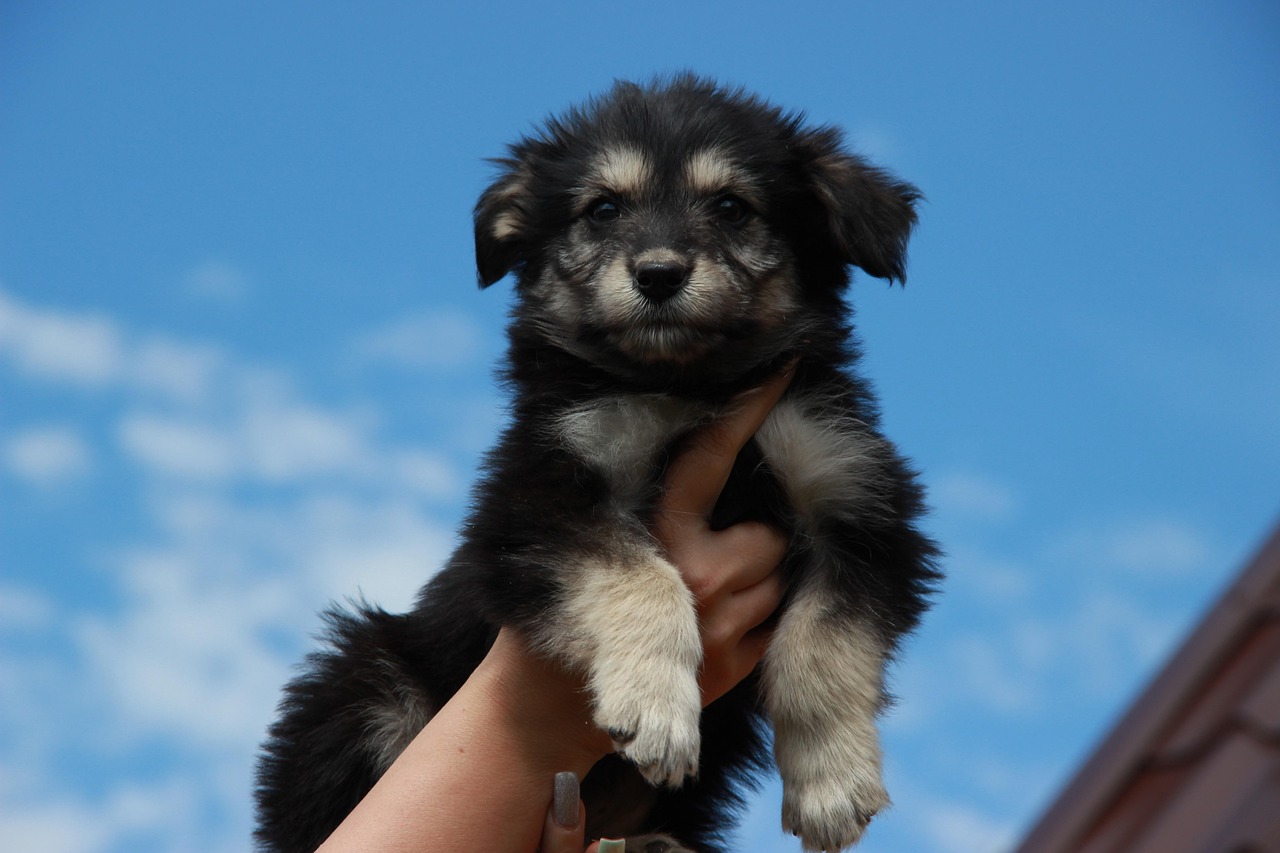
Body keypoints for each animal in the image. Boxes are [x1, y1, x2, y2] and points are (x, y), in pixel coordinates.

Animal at [254, 74, 936, 850]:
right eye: (603, 209)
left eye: (732, 207)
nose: (659, 274)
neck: (692, 386)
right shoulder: (539, 500)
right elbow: (642, 576)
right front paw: (655, 707)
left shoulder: (856, 502)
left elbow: (824, 646)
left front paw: (831, 781)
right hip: (362, 677)